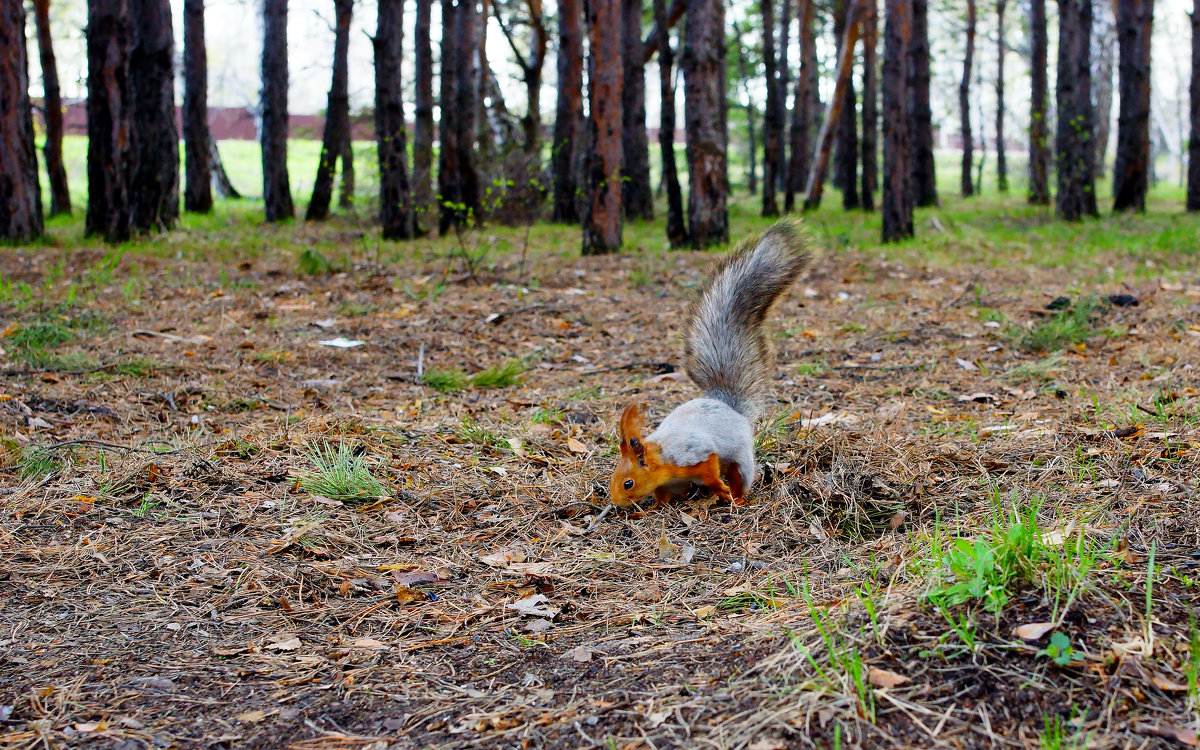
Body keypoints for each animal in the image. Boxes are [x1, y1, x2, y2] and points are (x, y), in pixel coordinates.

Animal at [609, 218, 806, 508]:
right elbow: (663, 496)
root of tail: (728, 406)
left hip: (741, 457)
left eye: (628, 483)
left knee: (741, 475)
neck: (663, 457)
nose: (615, 502)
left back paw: (737, 497)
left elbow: (711, 470)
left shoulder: (695, 454)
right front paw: (650, 508)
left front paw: (719, 488)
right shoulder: (670, 483)